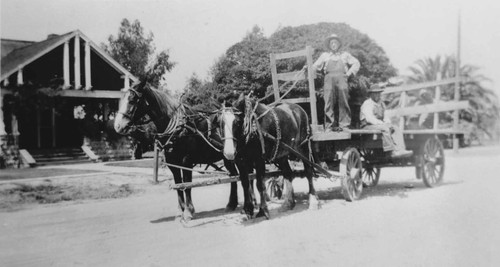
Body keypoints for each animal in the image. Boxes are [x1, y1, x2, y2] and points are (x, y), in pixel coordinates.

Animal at [115, 82, 244, 223]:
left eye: (132, 100)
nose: (117, 126)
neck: (178, 128)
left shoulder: (186, 162)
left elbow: (187, 185)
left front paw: (188, 212)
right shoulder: (173, 164)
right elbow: (178, 185)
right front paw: (180, 212)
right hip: (228, 157)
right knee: (233, 175)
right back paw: (231, 204)